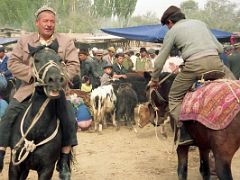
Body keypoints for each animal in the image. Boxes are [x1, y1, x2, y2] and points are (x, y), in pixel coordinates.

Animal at [9, 41, 67, 180]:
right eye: (36, 60)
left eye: (59, 59)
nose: (55, 79)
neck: (36, 132)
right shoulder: (15, 166)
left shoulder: (47, 168)